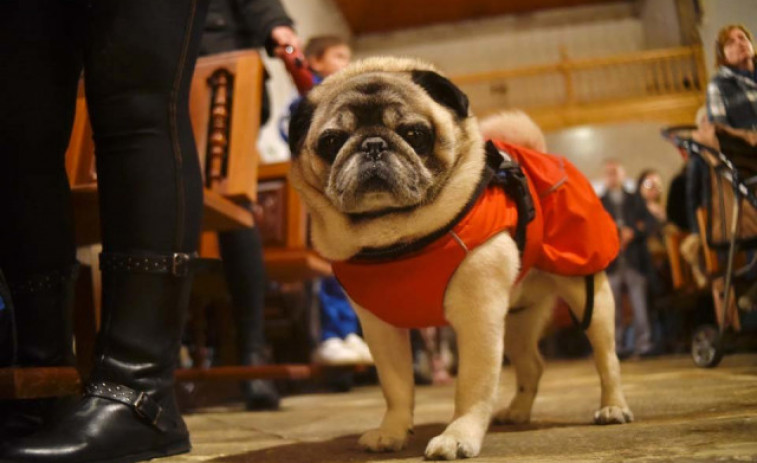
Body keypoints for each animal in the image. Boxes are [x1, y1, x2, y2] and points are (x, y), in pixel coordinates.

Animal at [286, 58, 628, 460]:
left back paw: (613, 406)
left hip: (587, 291)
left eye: (415, 134)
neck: (398, 239)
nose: (373, 144)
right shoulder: (381, 330)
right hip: (516, 318)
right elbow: (396, 387)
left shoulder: (478, 318)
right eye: (331, 141)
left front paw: (458, 434)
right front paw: (393, 431)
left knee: (606, 357)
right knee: (532, 365)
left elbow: (472, 385)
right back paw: (517, 412)